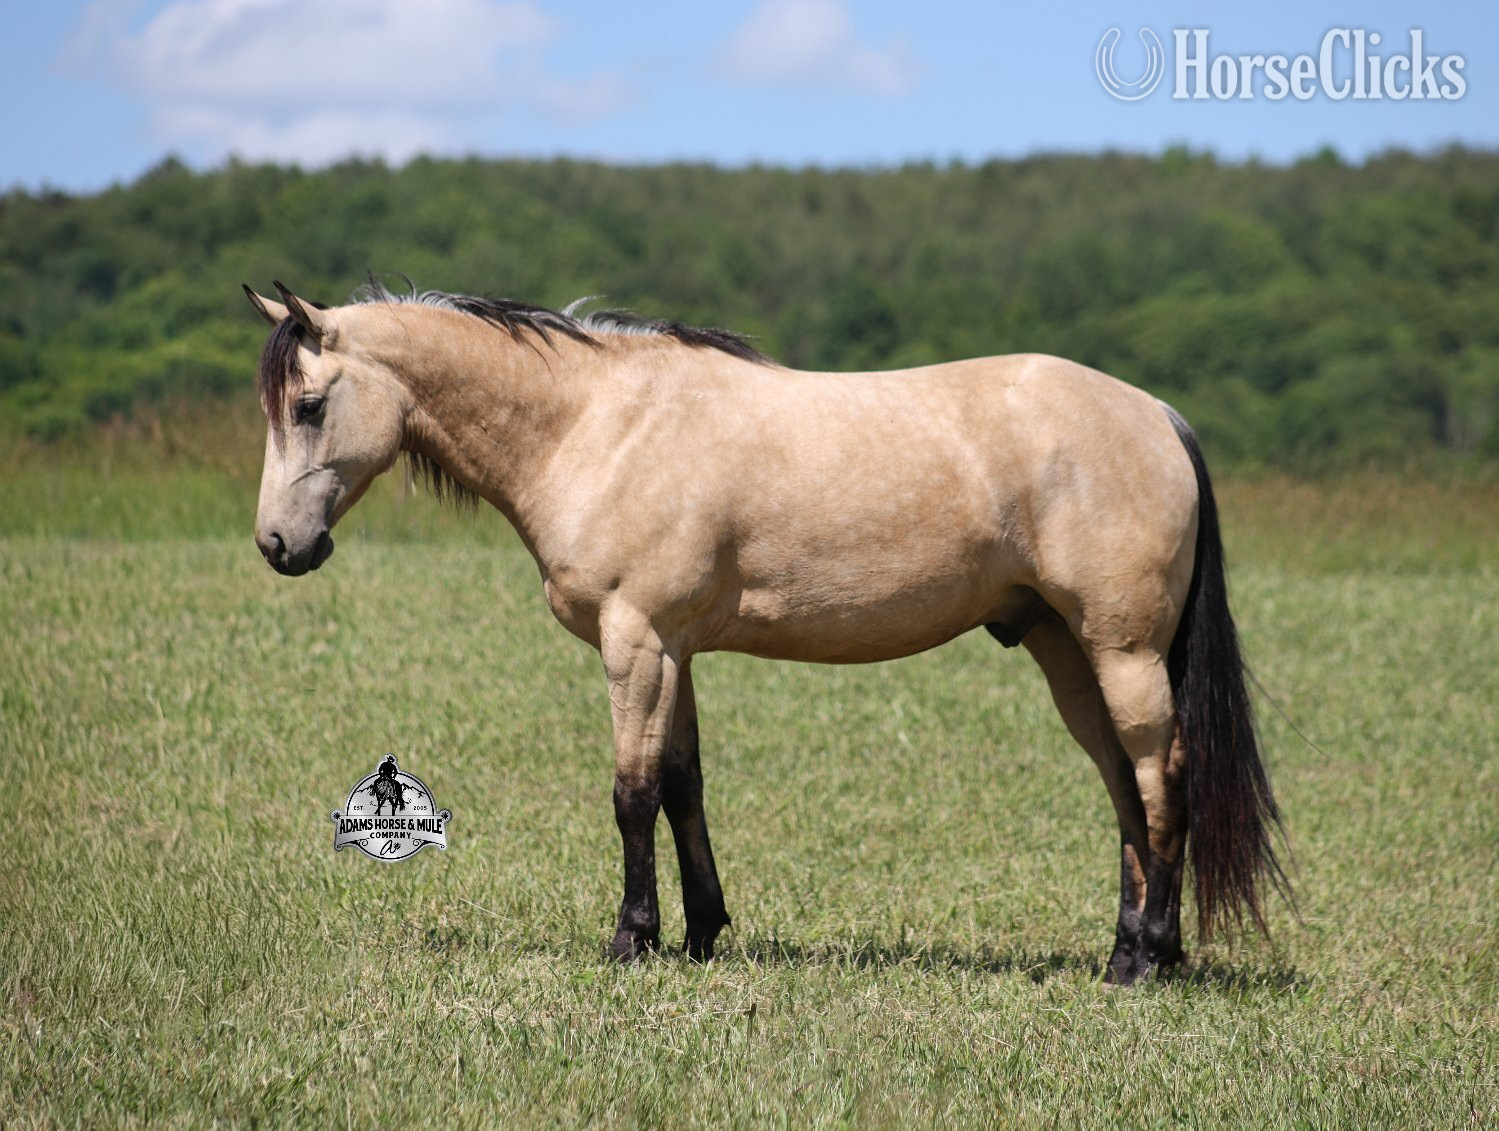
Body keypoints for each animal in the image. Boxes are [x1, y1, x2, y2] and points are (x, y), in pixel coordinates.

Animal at [245, 279, 1288, 984]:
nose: (277, 545)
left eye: (308, 404)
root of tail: (1158, 415)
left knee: (1162, 779)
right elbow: (681, 785)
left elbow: (630, 793)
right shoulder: (674, 651)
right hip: (1067, 652)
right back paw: (1123, 951)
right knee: (1123, 790)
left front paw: (631, 938)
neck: (598, 426)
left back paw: (1148, 956)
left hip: (1122, 652)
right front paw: (701, 931)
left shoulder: (636, 642)